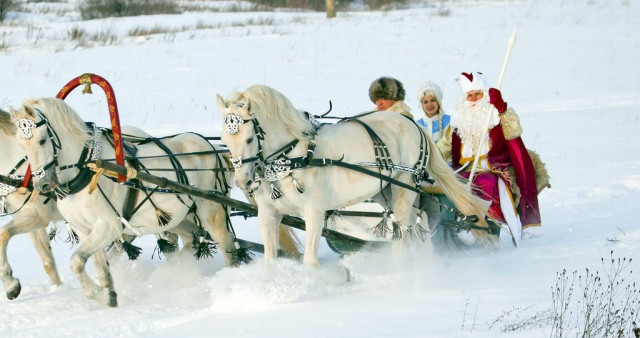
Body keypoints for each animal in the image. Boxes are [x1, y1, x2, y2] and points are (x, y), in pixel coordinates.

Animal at [9, 97, 245, 306]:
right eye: (21, 144)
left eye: (41, 140)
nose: (41, 185)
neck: (86, 171)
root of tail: (212, 148)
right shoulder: (85, 230)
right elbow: (99, 267)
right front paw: (107, 294)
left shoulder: (107, 227)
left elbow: (76, 262)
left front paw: (98, 293)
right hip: (178, 217)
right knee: (192, 239)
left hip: (211, 211)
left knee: (226, 244)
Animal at [215, 85, 490, 266]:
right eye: (225, 140)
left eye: (249, 138)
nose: (242, 181)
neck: (292, 157)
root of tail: (413, 125)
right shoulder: (268, 214)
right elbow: (271, 261)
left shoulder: (314, 212)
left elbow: (310, 261)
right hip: (384, 191)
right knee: (418, 221)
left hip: (404, 187)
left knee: (403, 232)